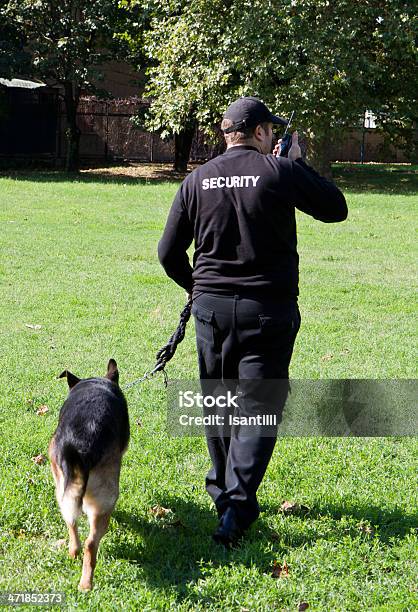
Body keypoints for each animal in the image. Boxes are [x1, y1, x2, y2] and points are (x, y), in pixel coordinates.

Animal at [48, 360, 129, 592]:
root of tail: (81, 445)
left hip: (61, 487)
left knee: (71, 523)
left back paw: (73, 555)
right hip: (106, 494)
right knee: (91, 543)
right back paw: (86, 584)